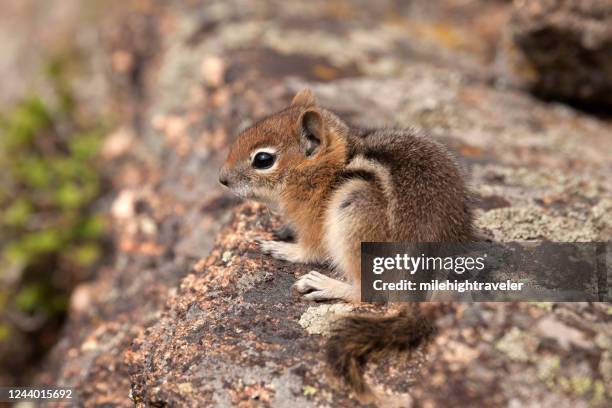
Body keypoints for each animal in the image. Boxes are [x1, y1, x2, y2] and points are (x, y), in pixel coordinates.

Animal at [219, 89, 474, 404]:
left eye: (263, 159)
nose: (222, 178)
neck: (326, 168)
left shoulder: (315, 222)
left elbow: (310, 250)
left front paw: (282, 248)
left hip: (353, 211)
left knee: (367, 292)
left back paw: (325, 284)